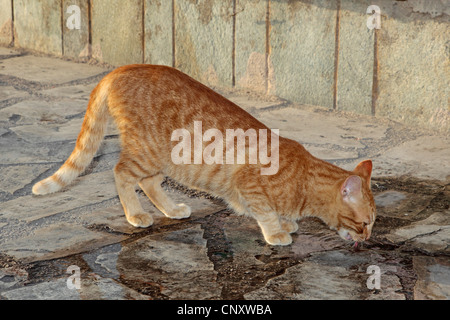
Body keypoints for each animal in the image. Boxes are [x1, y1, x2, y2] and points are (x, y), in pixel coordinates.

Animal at [32, 64, 376, 245]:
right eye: (365, 223)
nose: (368, 239)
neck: (304, 178)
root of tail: (122, 68)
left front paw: (285, 223)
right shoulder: (249, 182)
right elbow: (264, 211)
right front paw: (277, 231)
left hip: (164, 160)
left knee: (149, 183)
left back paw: (171, 209)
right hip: (146, 152)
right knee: (120, 174)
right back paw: (135, 214)